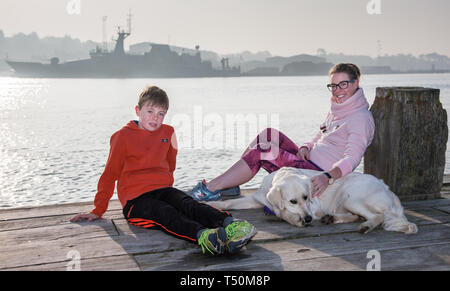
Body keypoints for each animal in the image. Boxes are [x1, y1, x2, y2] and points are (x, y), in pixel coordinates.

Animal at [207, 168, 418, 234]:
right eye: (293, 200)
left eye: (306, 197)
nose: (308, 219)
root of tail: (387, 188)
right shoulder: (256, 198)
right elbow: (229, 203)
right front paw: (213, 204)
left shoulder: (314, 208)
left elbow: (283, 214)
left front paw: (295, 219)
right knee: (356, 216)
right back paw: (332, 218)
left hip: (351, 195)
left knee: (378, 216)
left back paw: (366, 225)